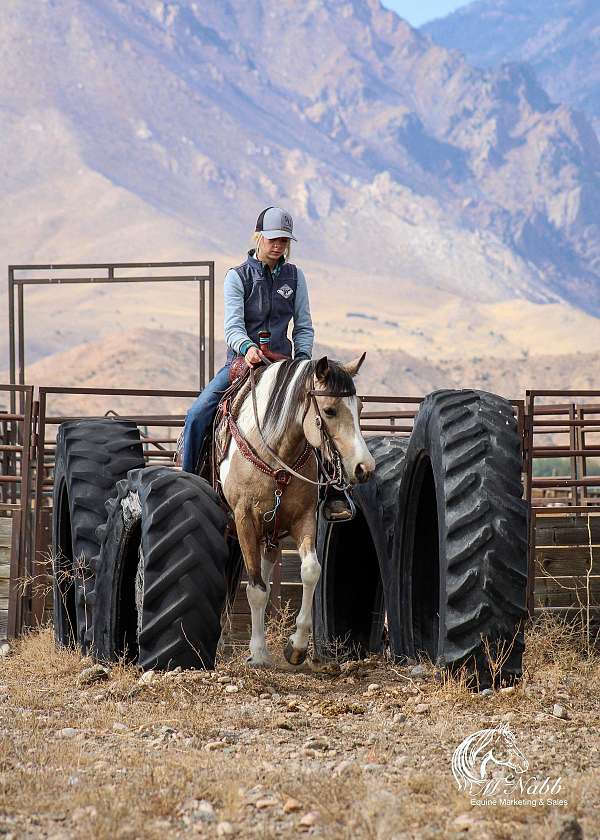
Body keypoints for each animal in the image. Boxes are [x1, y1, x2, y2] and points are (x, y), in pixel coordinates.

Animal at [216, 352, 376, 668]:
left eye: (360, 408)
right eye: (329, 411)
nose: (364, 467)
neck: (276, 454)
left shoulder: (304, 519)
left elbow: (310, 571)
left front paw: (297, 647)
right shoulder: (244, 520)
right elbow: (255, 589)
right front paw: (258, 653)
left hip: (271, 536)